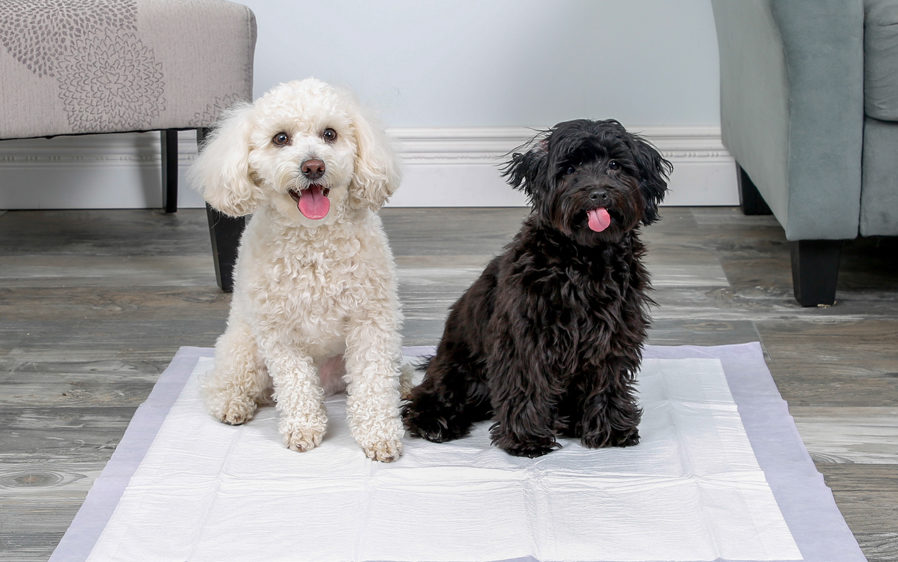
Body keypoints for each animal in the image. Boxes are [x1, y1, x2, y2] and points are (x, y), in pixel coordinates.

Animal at [191, 77, 408, 460]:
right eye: (281, 138)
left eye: (330, 134)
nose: (313, 167)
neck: (313, 238)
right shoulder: (278, 332)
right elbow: (295, 383)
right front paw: (304, 427)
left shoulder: (372, 322)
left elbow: (373, 383)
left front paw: (379, 434)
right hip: (244, 347)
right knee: (225, 383)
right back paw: (233, 404)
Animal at [402, 118, 668, 456]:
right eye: (570, 169)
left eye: (614, 165)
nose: (598, 194)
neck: (584, 259)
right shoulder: (525, 336)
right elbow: (527, 382)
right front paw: (526, 438)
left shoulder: (614, 332)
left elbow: (607, 381)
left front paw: (611, 429)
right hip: (459, 370)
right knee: (429, 395)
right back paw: (434, 422)